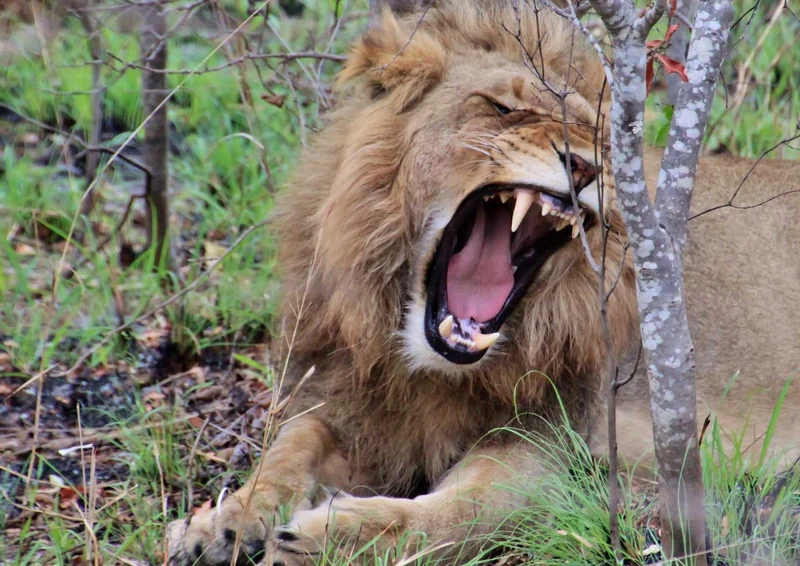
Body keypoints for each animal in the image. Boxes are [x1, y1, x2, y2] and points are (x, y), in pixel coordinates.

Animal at [168, 1, 800, 564]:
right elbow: (290, 447)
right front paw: (226, 521)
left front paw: (331, 540)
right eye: (502, 107)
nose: (586, 166)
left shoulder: (560, 449)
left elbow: (461, 515)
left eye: (600, 137)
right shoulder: (348, 403)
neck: (416, 366)